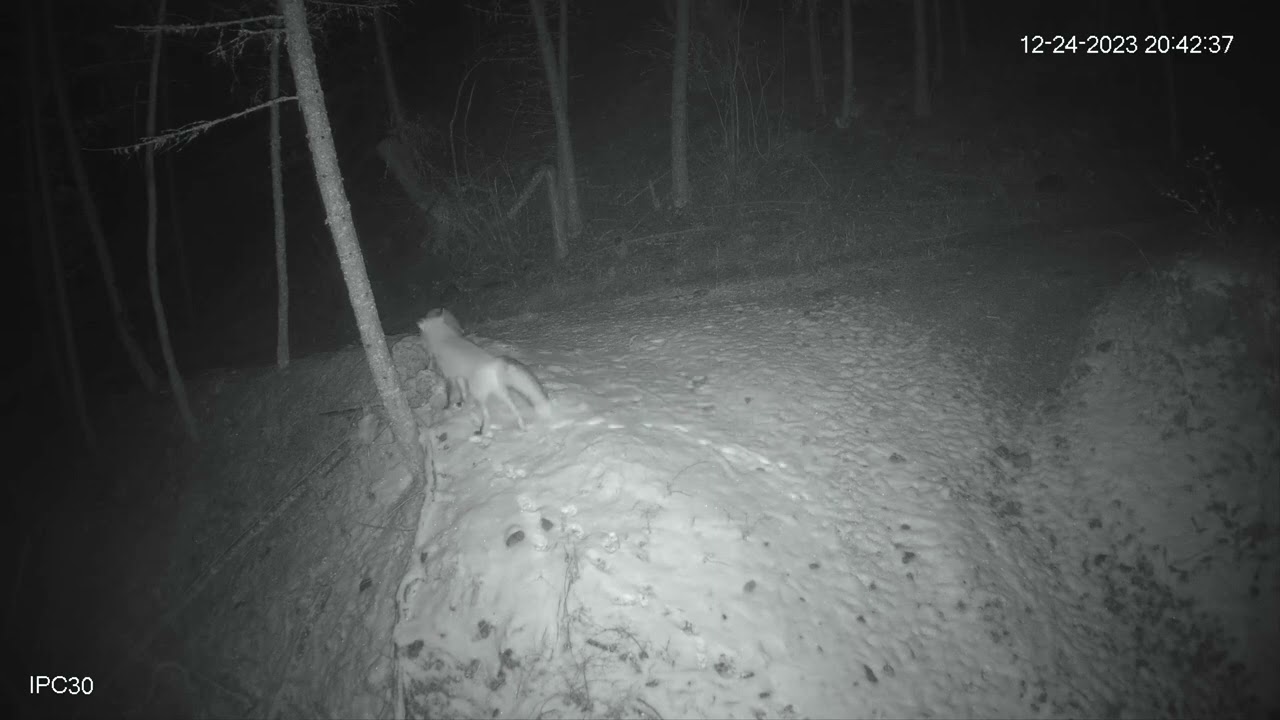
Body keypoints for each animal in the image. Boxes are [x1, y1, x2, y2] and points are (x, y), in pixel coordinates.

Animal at [416, 308, 552, 434]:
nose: (421, 342)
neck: (444, 338)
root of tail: (494, 363)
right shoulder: (460, 376)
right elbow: (463, 393)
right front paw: (461, 404)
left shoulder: (449, 376)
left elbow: (450, 394)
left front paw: (447, 407)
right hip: (502, 394)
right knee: (515, 409)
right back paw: (522, 427)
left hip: (479, 396)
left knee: (487, 415)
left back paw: (481, 431)